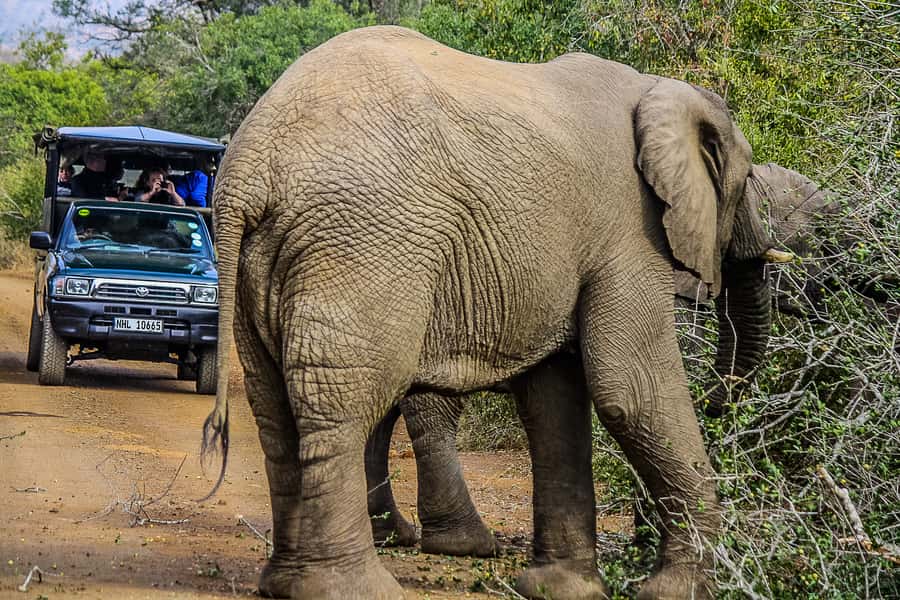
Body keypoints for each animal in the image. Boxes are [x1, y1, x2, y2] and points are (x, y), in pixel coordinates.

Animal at [200, 26, 792, 600]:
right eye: (743, 186)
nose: (720, 399)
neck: (658, 90)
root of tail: (247, 167)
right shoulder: (628, 229)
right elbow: (630, 390)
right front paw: (681, 592)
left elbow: (554, 399)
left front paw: (558, 590)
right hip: (360, 245)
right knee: (343, 403)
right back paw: (352, 589)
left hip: (269, 258)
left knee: (274, 407)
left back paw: (283, 584)